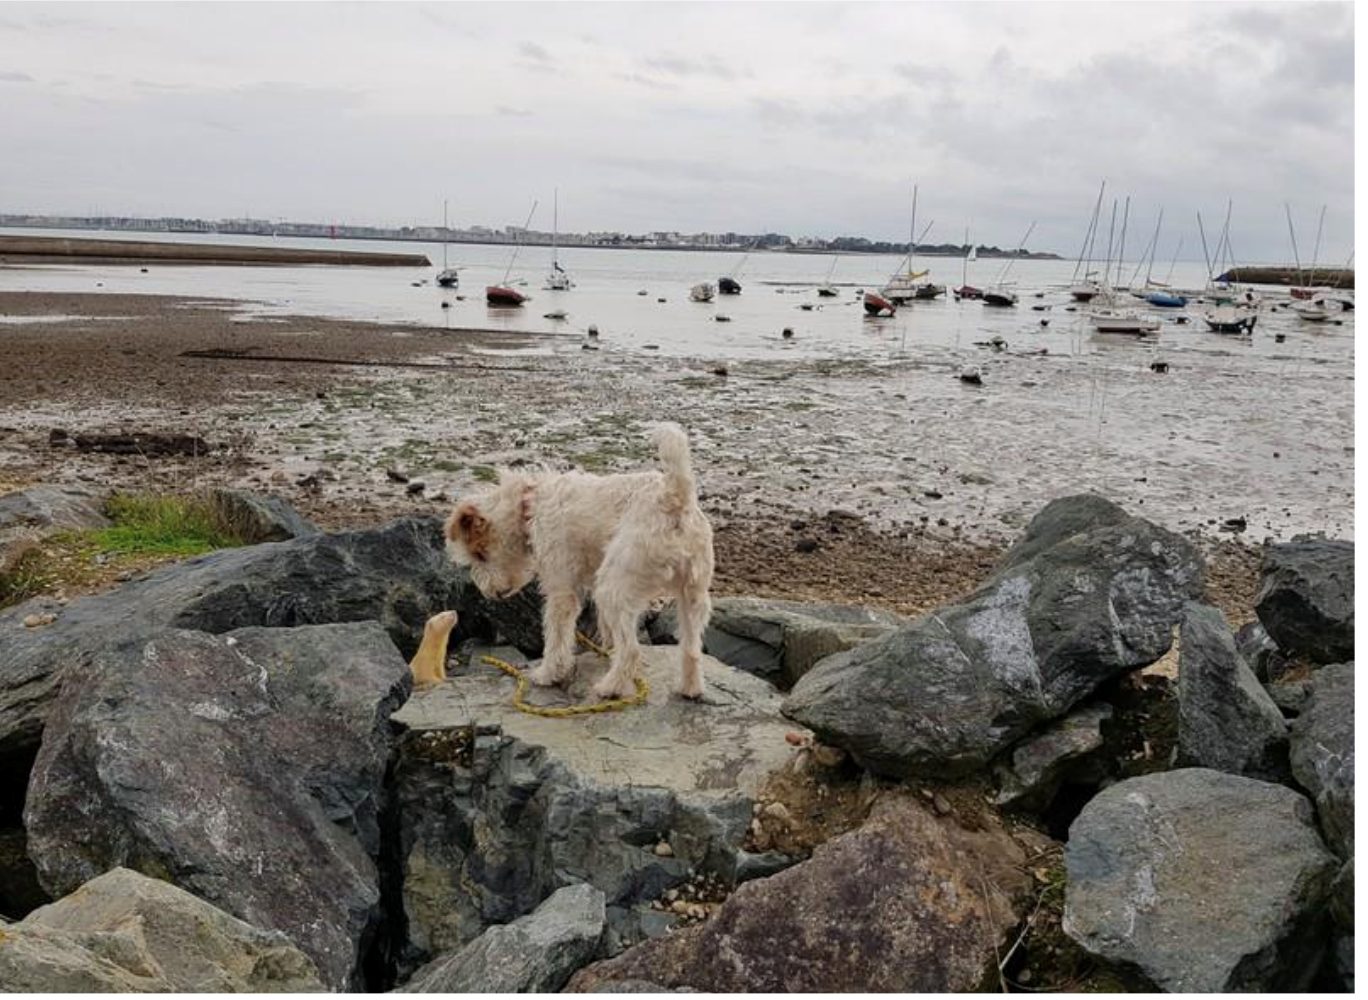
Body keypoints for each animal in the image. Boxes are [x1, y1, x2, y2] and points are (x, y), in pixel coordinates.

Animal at [445, 426, 716, 700]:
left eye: (479, 554)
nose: (489, 593)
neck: (529, 505)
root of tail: (674, 494)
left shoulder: (561, 589)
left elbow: (556, 636)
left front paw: (548, 673)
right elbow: (603, 627)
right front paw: (606, 650)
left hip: (614, 588)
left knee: (632, 651)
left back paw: (610, 687)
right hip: (692, 595)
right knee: (691, 648)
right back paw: (690, 688)